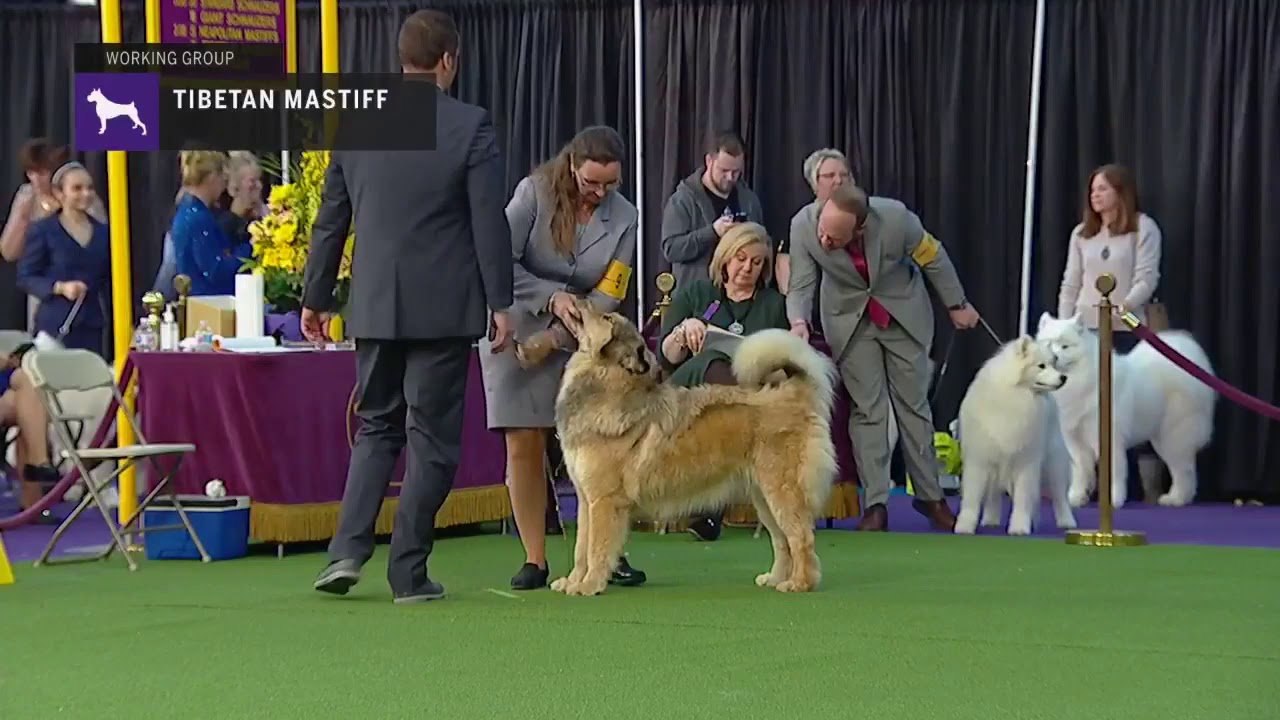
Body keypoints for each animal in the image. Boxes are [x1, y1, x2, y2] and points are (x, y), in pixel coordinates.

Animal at [957, 335, 1075, 532]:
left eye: (1053, 364)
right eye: (1041, 366)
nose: (1063, 377)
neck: (1016, 396)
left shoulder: (1025, 461)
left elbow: (1023, 497)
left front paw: (1019, 526)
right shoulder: (980, 459)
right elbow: (972, 498)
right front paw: (965, 526)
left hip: (1053, 462)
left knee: (1059, 496)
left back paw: (1067, 521)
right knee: (993, 494)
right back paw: (991, 519)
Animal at [1034, 311, 1213, 507]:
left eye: (1065, 346)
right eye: (1048, 344)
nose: (1054, 357)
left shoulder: (1109, 438)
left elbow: (1115, 471)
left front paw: (1114, 500)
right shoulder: (1074, 439)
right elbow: (1080, 470)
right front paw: (1077, 497)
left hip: (1173, 436)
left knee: (1182, 469)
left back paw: (1176, 498)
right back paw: (1180, 498)